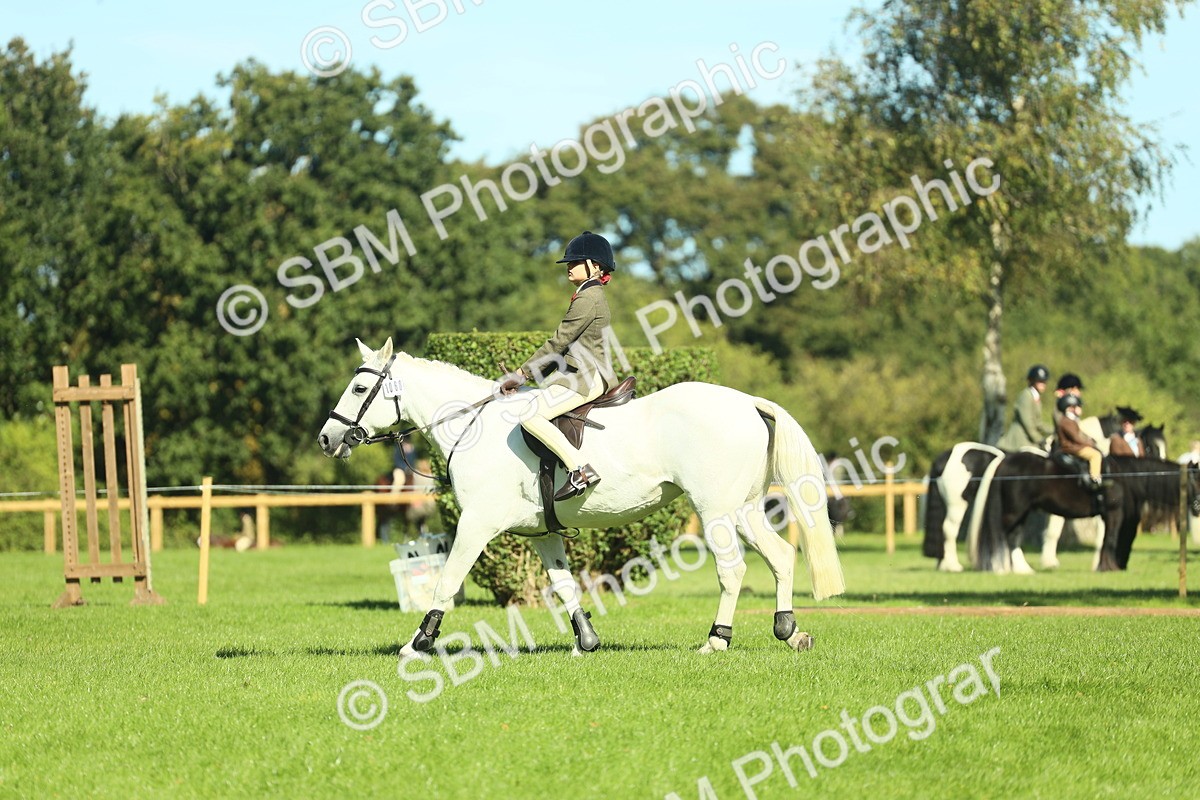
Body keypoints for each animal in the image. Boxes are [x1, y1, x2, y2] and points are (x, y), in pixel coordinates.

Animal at [317, 338, 845, 658]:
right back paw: (790, 631)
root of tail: (745, 401)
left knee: (732, 571)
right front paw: (586, 642)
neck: (473, 426)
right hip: (744, 508)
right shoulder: (541, 534)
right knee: (781, 556)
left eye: (360, 387)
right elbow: (565, 584)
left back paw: (717, 641)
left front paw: (419, 644)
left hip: (715, 511)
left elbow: (445, 582)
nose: (326, 439)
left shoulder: (476, 524)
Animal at [974, 452, 1197, 572]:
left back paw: (1021, 569)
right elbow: (1110, 540)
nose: (1197, 507)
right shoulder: (1114, 514)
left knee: (1011, 538)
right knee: (998, 535)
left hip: (1021, 513)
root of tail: (1005, 460)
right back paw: (1000, 567)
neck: (1124, 477)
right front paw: (1108, 567)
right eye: (1198, 481)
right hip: (1013, 512)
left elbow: (1109, 540)